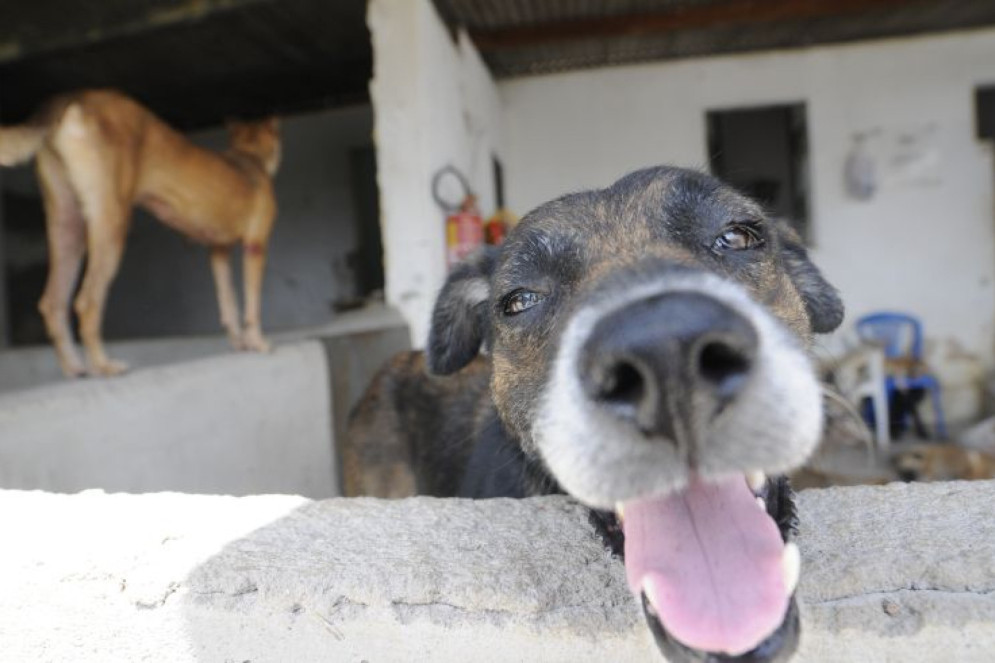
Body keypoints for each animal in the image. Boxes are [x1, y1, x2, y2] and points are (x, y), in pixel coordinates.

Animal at [0, 90, 280, 376]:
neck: (250, 155)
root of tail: (74, 96)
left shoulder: (218, 251)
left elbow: (229, 303)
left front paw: (240, 343)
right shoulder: (256, 245)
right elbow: (252, 304)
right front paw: (258, 343)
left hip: (67, 226)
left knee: (53, 302)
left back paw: (76, 369)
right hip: (112, 225)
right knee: (87, 302)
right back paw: (104, 365)